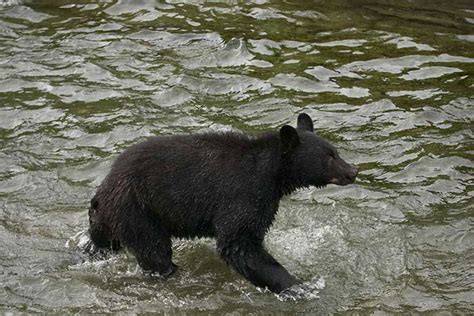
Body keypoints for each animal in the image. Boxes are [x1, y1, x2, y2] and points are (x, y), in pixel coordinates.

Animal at [88, 113, 356, 294]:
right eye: (329, 156)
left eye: (336, 151)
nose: (353, 171)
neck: (273, 174)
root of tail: (104, 188)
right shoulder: (242, 194)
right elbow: (240, 243)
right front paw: (298, 286)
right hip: (138, 211)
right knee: (154, 251)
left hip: (109, 220)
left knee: (102, 242)